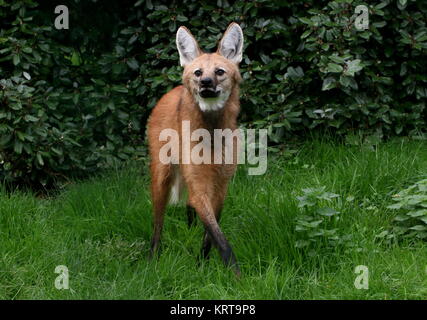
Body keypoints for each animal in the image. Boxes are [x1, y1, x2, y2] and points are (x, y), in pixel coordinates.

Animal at [148, 21, 244, 276]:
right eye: (198, 72)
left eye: (219, 72)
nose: (206, 83)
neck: (211, 133)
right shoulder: (200, 184)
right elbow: (221, 238)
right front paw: (238, 275)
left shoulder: (220, 185)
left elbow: (211, 234)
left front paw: (202, 263)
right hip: (162, 176)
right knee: (158, 222)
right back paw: (152, 258)